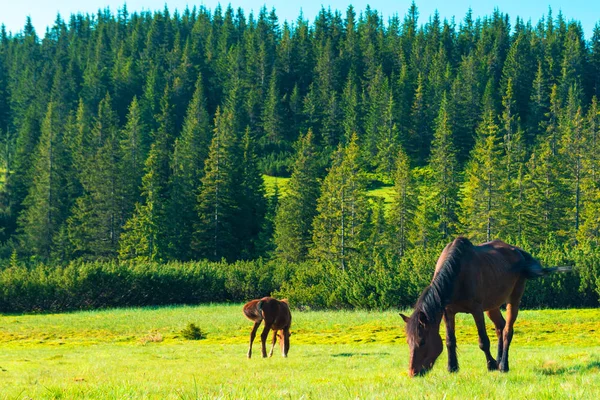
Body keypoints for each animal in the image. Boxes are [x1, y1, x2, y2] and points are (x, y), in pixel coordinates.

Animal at [400, 238, 568, 378]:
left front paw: (491, 365)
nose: (413, 372)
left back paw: (503, 365)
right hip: (492, 306)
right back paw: (499, 360)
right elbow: (449, 340)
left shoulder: (476, 310)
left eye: (422, 341)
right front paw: (452, 367)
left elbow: (483, 341)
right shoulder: (448, 312)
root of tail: (518, 252)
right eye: (408, 341)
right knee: (500, 326)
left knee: (507, 330)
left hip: (513, 300)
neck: (457, 274)